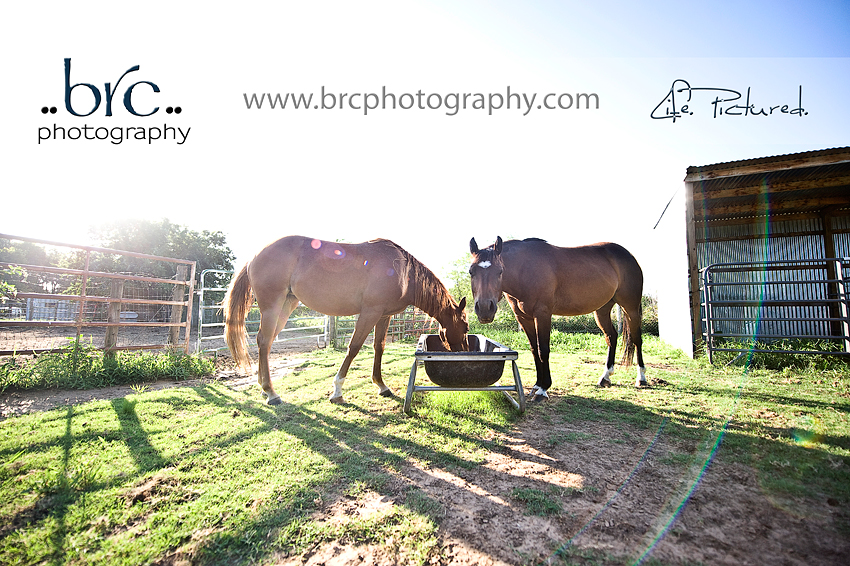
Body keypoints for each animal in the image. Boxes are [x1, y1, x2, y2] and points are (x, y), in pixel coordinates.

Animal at [223, 236, 469, 405]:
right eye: (465, 327)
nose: (463, 354)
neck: (401, 271)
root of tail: (254, 256)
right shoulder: (369, 313)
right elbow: (354, 347)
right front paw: (337, 391)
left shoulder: (384, 315)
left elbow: (379, 347)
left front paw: (381, 385)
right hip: (272, 306)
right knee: (264, 340)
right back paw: (271, 392)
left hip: (286, 305)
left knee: (266, 342)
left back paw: (264, 388)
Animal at [468, 237, 646, 401]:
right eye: (471, 271)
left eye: (500, 271)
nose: (484, 308)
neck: (525, 269)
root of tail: (629, 256)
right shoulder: (524, 318)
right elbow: (534, 349)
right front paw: (537, 384)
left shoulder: (543, 314)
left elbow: (543, 349)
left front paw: (543, 389)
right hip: (602, 309)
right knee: (611, 336)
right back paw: (606, 377)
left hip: (630, 307)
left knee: (637, 338)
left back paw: (641, 378)